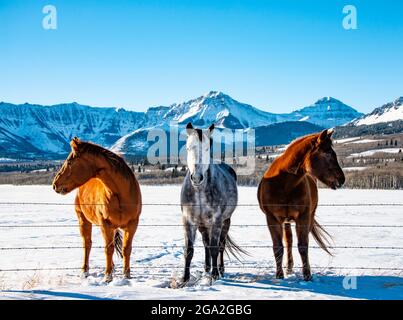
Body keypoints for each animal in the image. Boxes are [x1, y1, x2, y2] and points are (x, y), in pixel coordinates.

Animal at [52, 136, 142, 282]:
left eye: (69, 161)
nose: (55, 184)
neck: (120, 194)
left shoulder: (132, 224)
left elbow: (126, 249)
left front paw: (126, 276)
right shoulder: (105, 224)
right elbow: (108, 249)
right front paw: (108, 277)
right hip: (83, 220)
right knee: (87, 244)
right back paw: (84, 271)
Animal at [181, 122, 243, 282]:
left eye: (207, 148)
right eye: (188, 148)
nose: (197, 178)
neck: (199, 191)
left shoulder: (217, 220)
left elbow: (215, 248)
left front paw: (215, 275)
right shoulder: (188, 220)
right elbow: (189, 250)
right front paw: (184, 278)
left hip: (226, 221)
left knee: (220, 245)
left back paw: (220, 269)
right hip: (202, 224)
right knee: (206, 243)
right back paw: (206, 268)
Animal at [258, 130, 346, 280]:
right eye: (327, 153)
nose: (341, 179)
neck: (284, 184)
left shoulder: (303, 217)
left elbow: (303, 246)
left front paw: (307, 275)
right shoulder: (272, 219)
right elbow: (278, 247)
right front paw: (279, 275)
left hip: (308, 217)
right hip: (286, 221)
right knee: (288, 241)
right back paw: (288, 268)